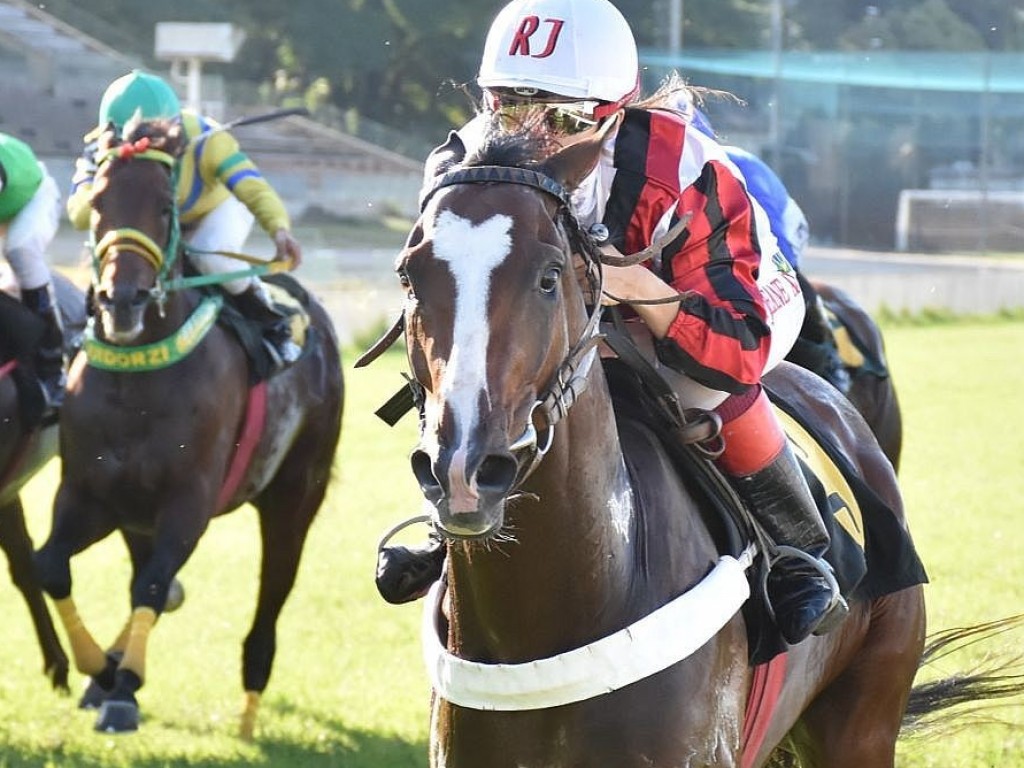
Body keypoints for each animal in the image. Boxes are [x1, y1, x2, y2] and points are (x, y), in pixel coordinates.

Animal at [34, 117, 346, 737]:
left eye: (162, 205)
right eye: (97, 203)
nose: (121, 300)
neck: (138, 377)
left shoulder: (188, 501)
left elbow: (153, 584)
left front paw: (122, 684)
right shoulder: (89, 496)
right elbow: (52, 565)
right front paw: (101, 672)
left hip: (295, 496)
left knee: (273, 588)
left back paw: (250, 702)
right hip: (136, 517)